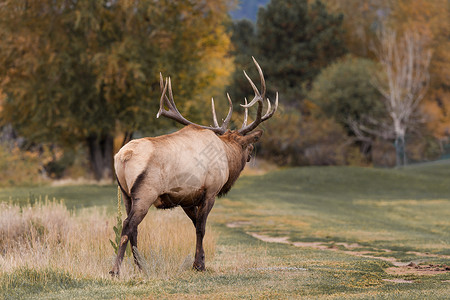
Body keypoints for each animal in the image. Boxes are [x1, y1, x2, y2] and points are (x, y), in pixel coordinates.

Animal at [109, 57, 278, 276]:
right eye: (249, 146)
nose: (250, 156)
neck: (226, 154)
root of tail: (123, 156)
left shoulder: (186, 198)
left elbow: (195, 224)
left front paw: (199, 262)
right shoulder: (210, 190)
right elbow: (201, 227)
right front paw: (199, 265)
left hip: (125, 193)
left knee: (133, 228)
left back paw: (141, 267)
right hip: (145, 192)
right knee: (128, 225)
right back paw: (116, 269)